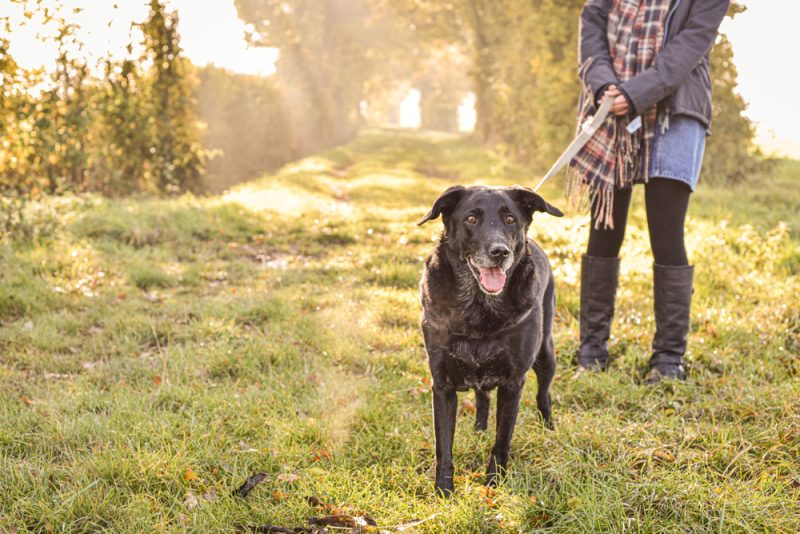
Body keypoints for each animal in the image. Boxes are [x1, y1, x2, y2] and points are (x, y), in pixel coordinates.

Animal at [418, 185, 564, 498]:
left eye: (510, 219)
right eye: (471, 219)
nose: (500, 252)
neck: (478, 307)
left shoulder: (513, 383)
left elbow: (502, 440)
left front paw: (494, 482)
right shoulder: (442, 384)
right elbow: (443, 445)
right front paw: (443, 491)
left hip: (546, 354)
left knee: (543, 395)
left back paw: (549, 430)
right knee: (482, 397)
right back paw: (479, 429)